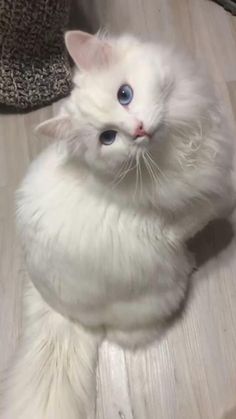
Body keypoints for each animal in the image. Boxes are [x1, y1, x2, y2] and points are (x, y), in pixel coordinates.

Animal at [0, 30, 234, 419]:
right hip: (157, 293)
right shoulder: (180, 220)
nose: (138, 130)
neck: (177, 148)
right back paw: (189, 264)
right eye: (108, 138)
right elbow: (216, 204)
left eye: (125, 95)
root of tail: (58, 308)